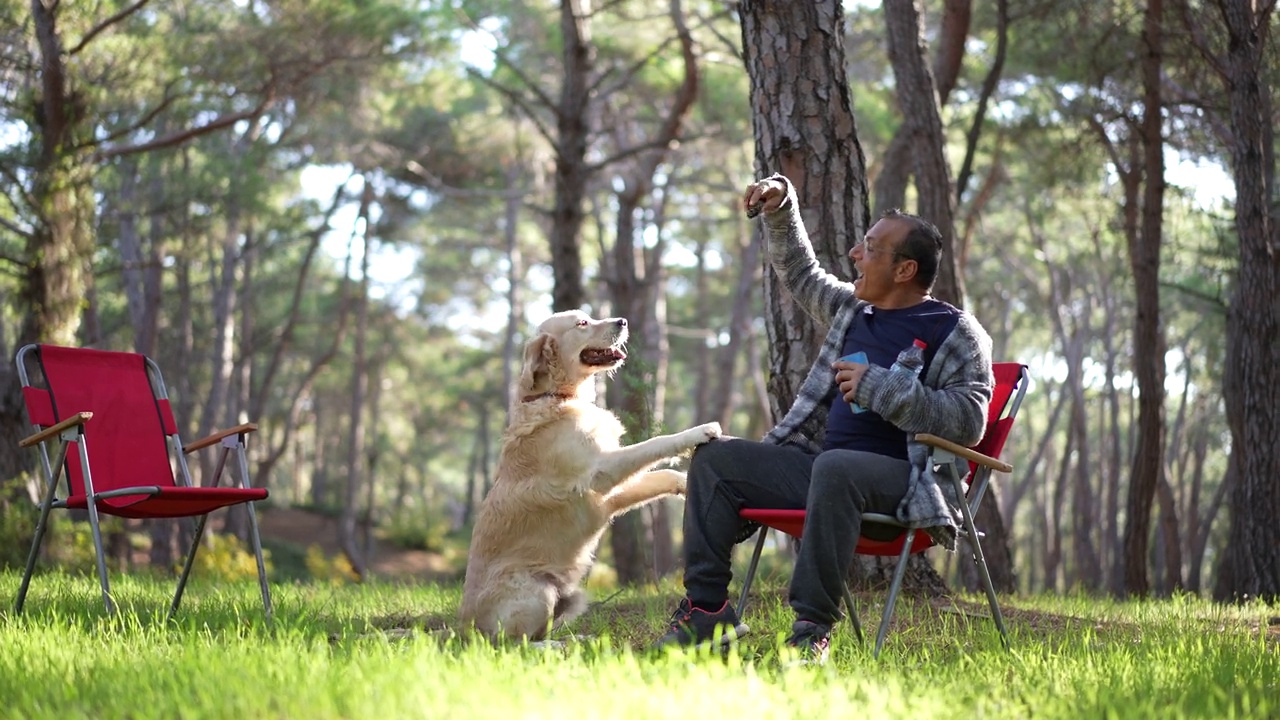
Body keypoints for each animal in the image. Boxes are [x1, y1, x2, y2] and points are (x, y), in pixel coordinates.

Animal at [458, 308, 721, 638]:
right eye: (582, 323)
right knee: (516, 643)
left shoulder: (609, 497)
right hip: (537, 591)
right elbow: (656, 443)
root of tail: (464, 627)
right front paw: (700, 431)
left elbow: (662, 476)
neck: (559, 396)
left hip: (570, 598)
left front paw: (689, 484)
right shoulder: (601, 470)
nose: (623, 322)